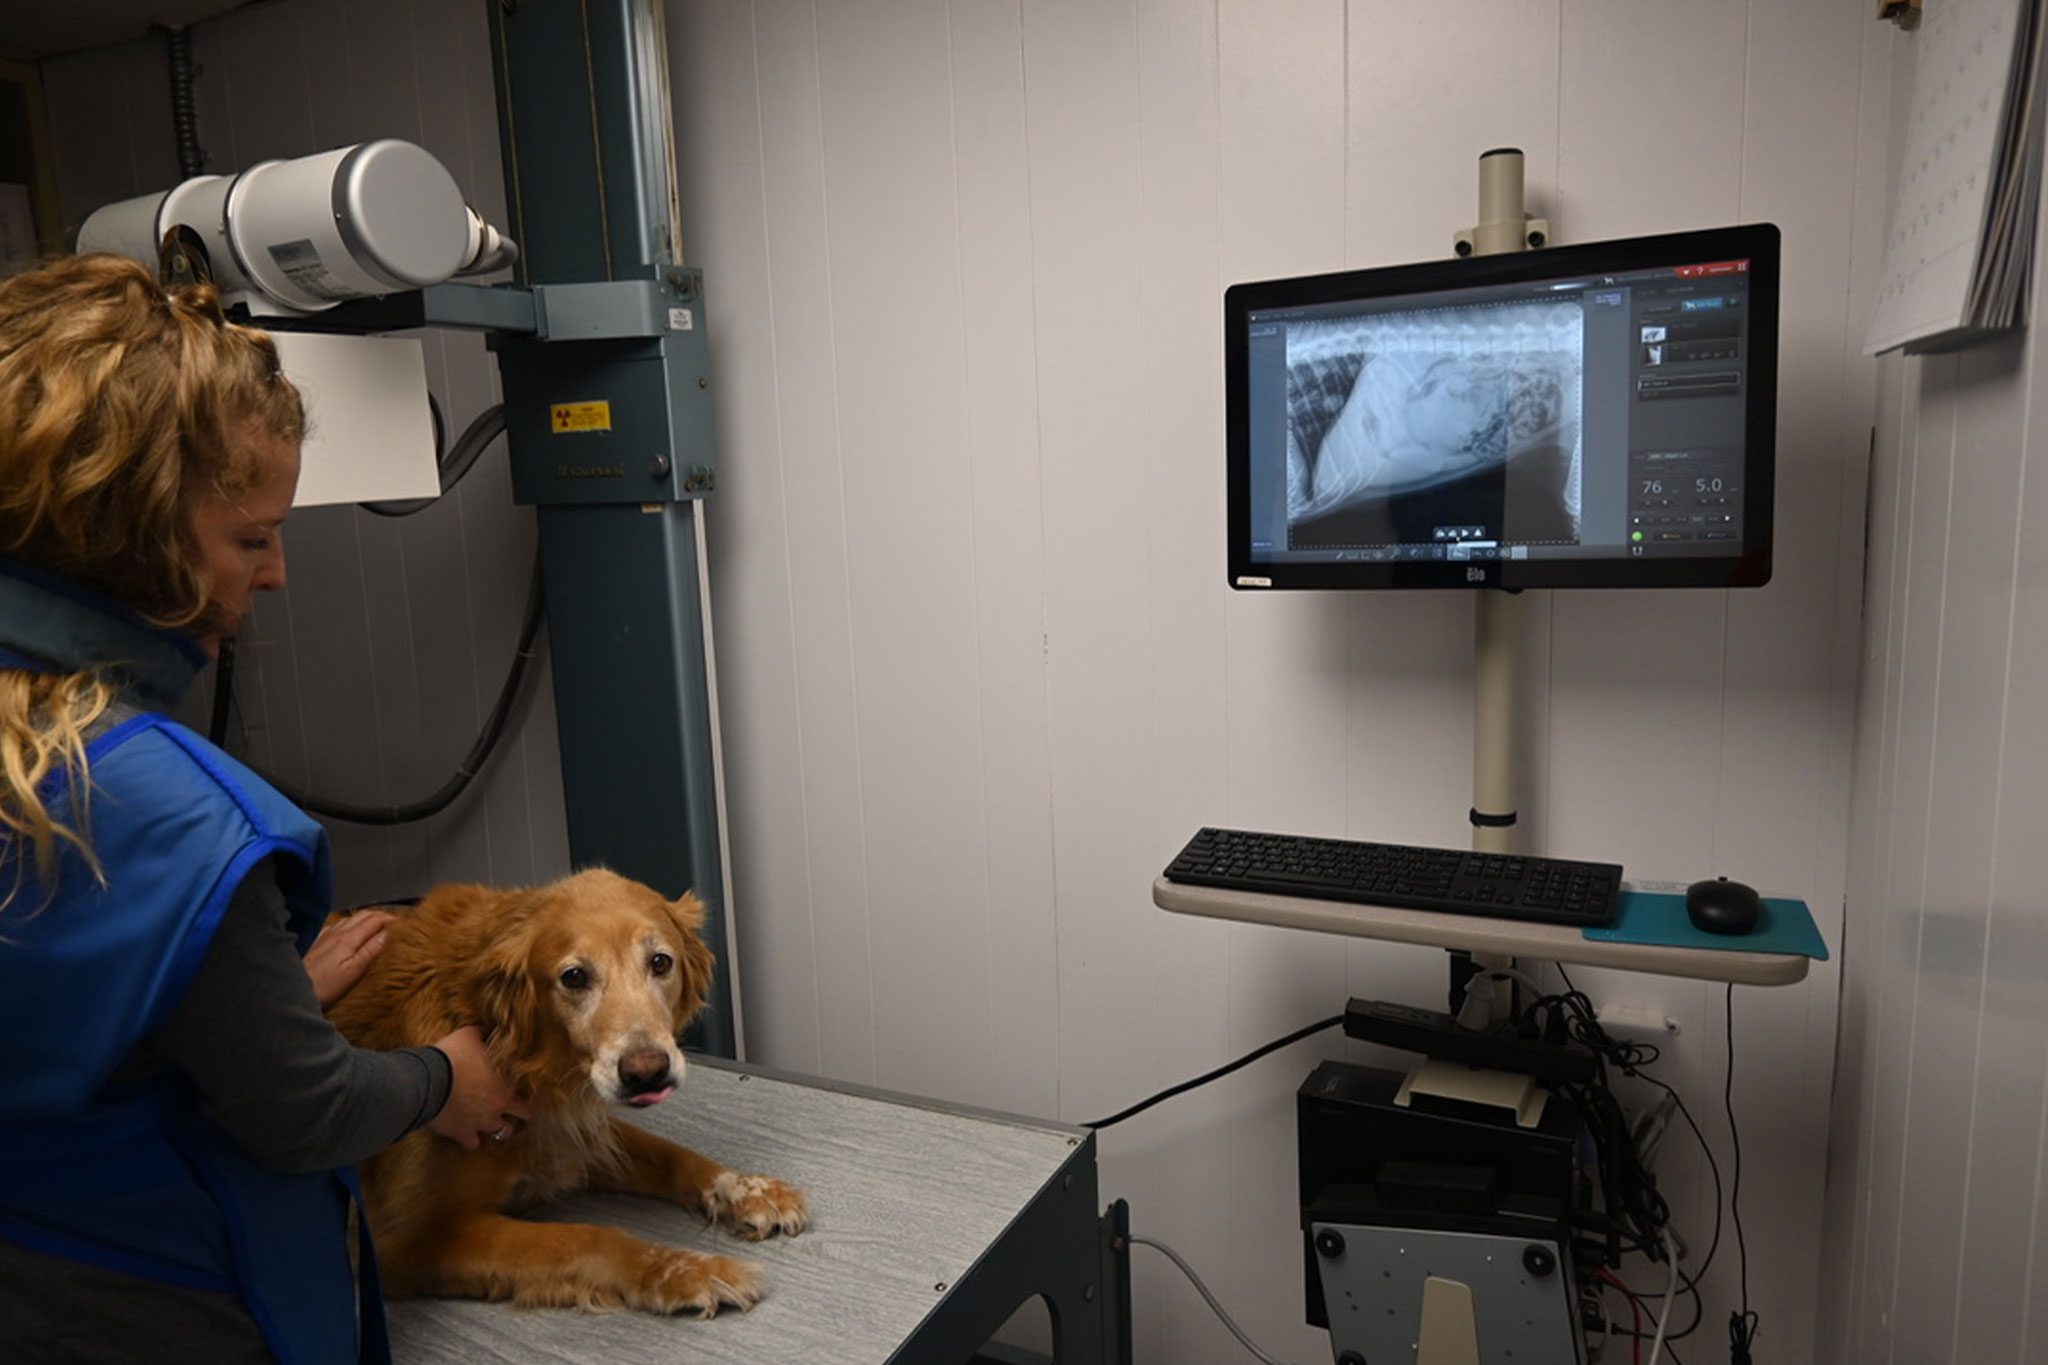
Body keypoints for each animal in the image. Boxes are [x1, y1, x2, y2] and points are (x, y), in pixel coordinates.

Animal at [323, 871, 802, 1317]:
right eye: (574, 977)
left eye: (660, 962)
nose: (646, 1074)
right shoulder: (401, 1239)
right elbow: (584, 1238)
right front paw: (684, 1270)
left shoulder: (574, 1138)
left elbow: (670, 1154)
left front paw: (746, 1188)